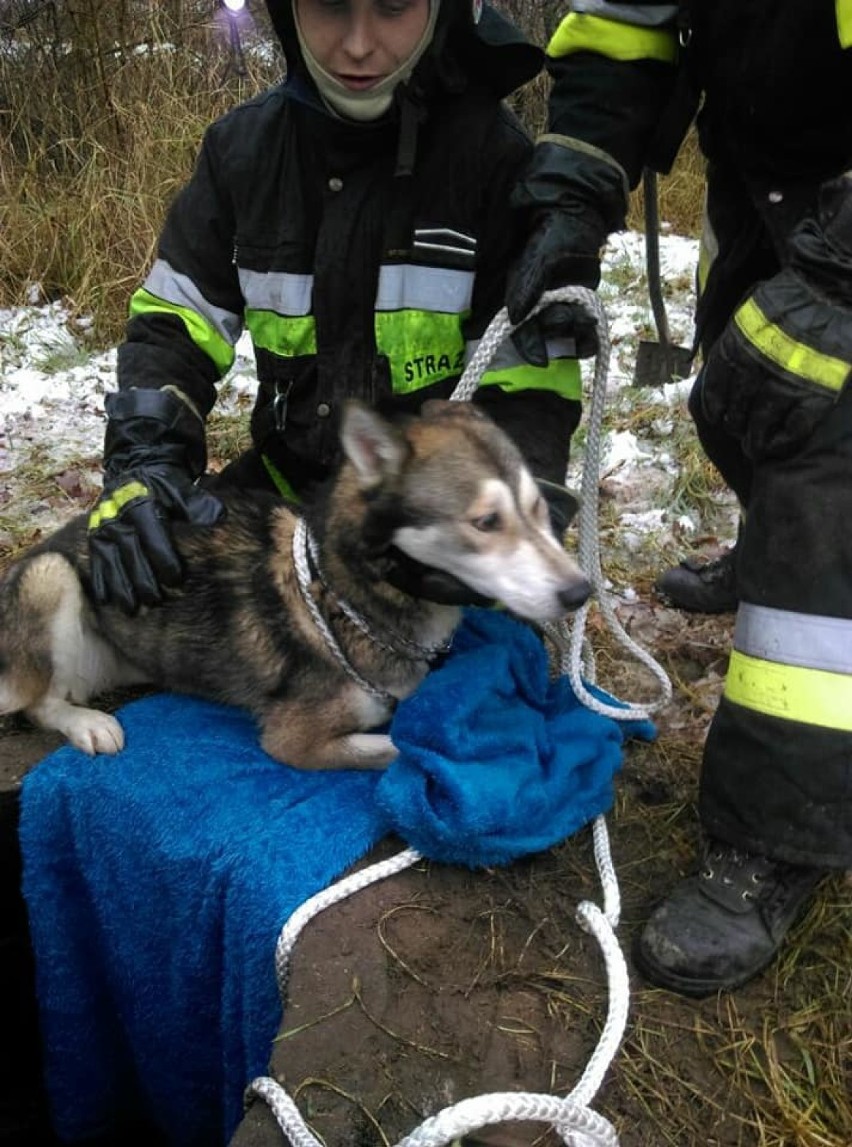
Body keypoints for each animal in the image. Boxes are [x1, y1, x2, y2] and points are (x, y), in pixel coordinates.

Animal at [0, 401, 591, 770]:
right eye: (486, 522)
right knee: (39, 703)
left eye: (539, 510)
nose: (580, 592)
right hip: (50, 579)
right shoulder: (292, 739)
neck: (346, 599)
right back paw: (88, 724)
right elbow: (397, 748)